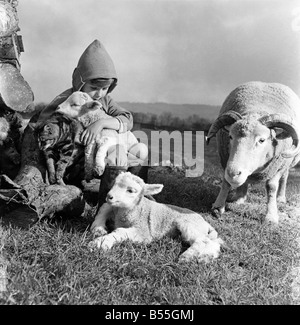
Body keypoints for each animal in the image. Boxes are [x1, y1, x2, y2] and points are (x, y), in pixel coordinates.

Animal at [88, 172, 223, 260]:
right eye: (114, 184)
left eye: (130, 191)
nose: (109, 196)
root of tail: (205, 223)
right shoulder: (113, 207)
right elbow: (104, 208)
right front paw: (98, 230)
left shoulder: (143, 233)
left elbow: (120, 231)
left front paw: (100, 243)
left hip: (189, 224)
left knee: (204, 241)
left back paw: (190, 256)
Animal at [206, 81, 300, 223]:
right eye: (230, 136)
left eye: (262, 140)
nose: (233, 173)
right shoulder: (225, 159)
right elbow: (225, 182)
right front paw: (218, 206)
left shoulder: (278, 166)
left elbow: (271, 187)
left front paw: (271, 216)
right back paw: (239, 198)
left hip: (288, 162)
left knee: (284, 177)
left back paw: (280, 198)